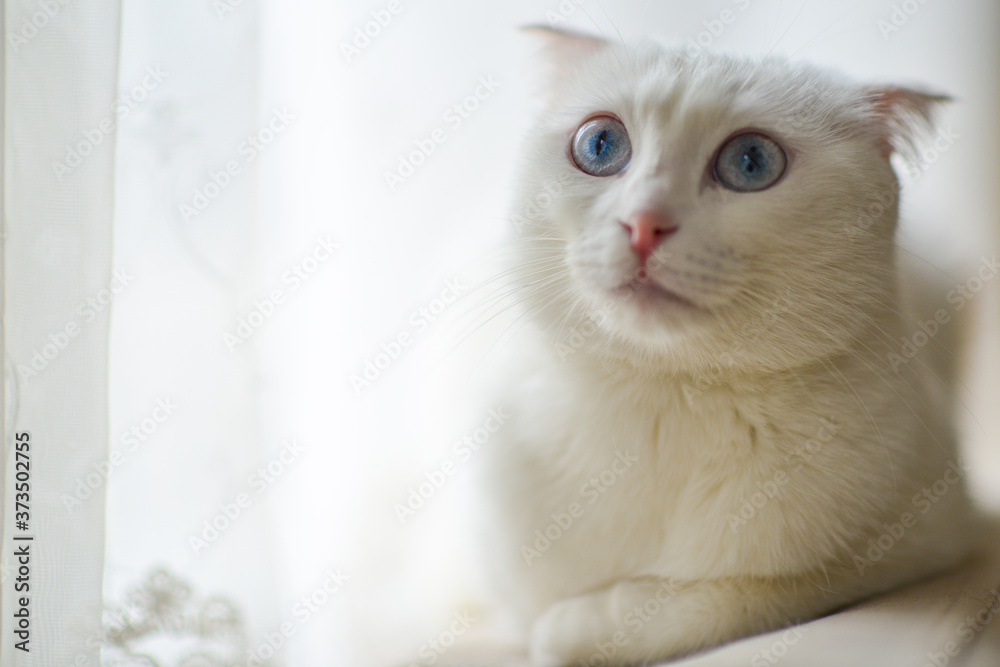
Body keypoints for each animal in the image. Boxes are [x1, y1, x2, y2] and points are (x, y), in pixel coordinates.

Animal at [474, 28, 968, 664]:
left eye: (750, 162)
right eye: (601, 144)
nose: (644, 223)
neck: (666, 404)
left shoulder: (931, 540)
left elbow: (751, 592)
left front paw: (578, 624)